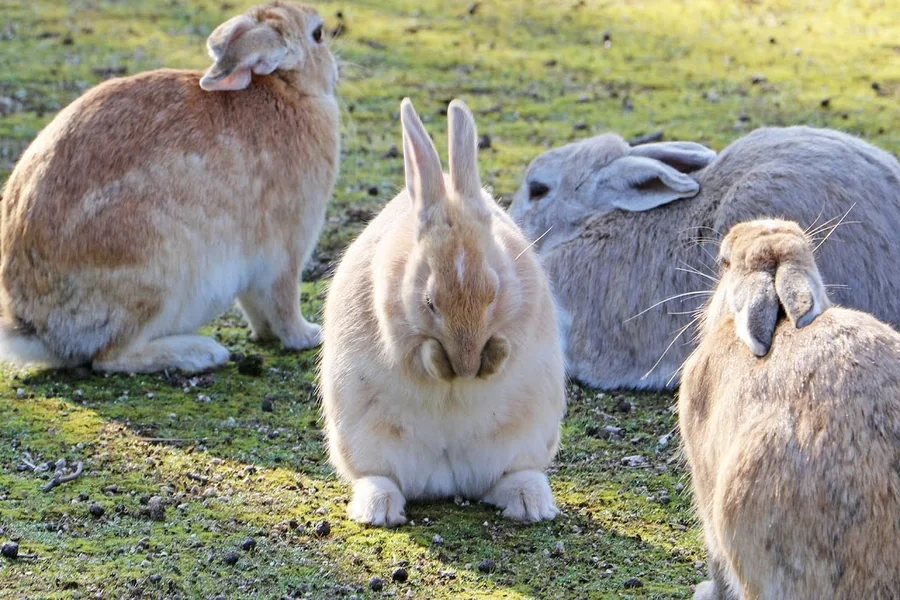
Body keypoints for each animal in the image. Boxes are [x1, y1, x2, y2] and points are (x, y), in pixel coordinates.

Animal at [0, 2, 340, 373]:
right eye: (318, 34)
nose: (336, 72)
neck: (289, 90)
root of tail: (38, 328)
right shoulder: (287, 250)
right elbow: (283, 301)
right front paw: (307, 336)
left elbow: (255, 305)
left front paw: (266, 335)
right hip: (157, 274)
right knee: (111, 357)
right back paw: (201, 352)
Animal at [319, 98, 566, 527]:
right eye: (430, 302)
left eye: (493, 292)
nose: (466, 368)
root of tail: (449, 480)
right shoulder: (395, 331)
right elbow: (419, 356)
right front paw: (442, 361)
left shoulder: (524, 313)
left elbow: (509, 347)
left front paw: (491, 357)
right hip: (364, 440)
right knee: (382, 477)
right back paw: (378, 509)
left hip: (528, 434)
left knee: (508, 476)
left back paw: (529, 503)